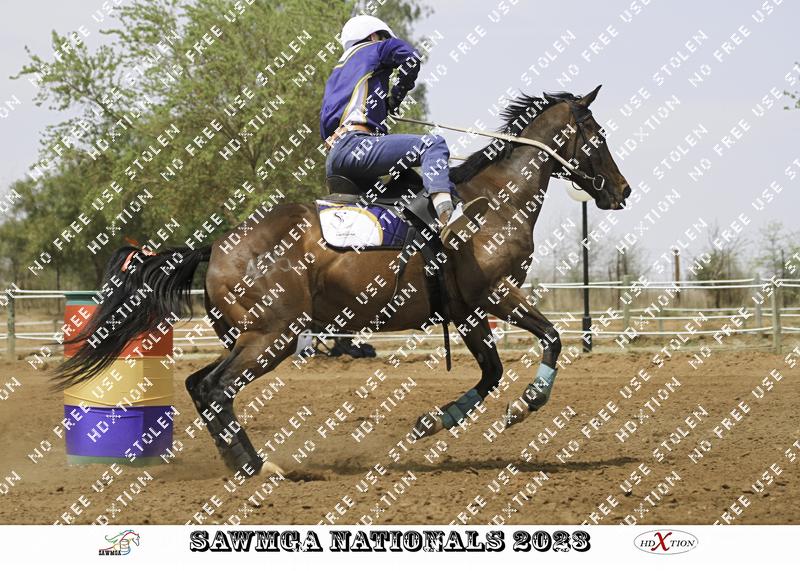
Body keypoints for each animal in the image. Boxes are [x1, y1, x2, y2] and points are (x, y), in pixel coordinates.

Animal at [55, 85, 630, 477]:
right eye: (597, 136)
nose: (621, 191)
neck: (491, 201)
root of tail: (215, 245)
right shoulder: (495, 295)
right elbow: (550, 340)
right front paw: (525, 404)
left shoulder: (466, 311)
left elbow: (490, 373)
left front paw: (434, 421)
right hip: (273, 336)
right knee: (215, 388)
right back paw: (256, 466)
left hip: (251, 336)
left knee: (201, 385)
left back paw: (242, 462)